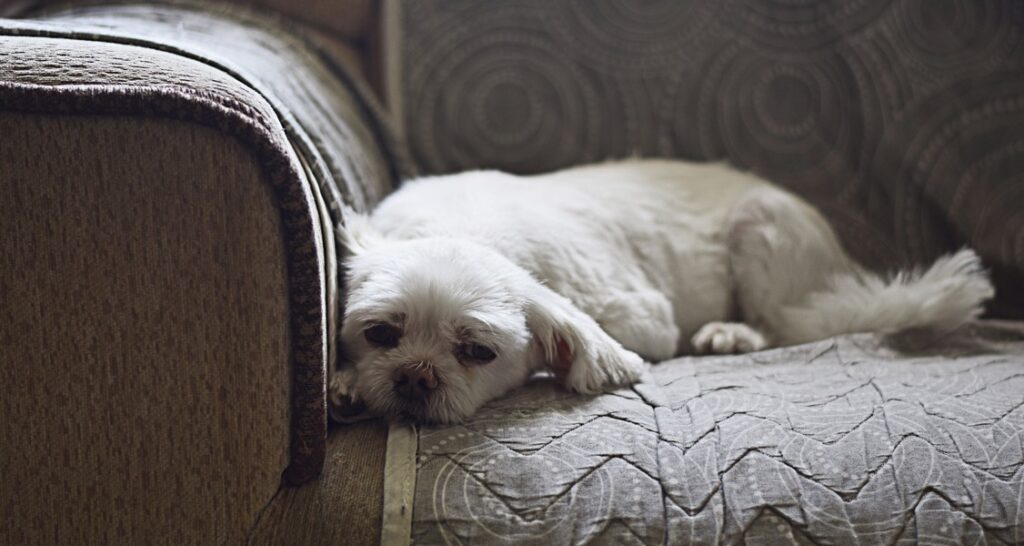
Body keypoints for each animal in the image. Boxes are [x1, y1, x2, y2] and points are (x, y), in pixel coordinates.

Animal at [331, 157, 995, 422]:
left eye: (477, 352)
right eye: (380, 333)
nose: (415, 377)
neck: (465, 223)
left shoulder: (646, 317)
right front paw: (348, 384)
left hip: (763, 228)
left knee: (782, 323)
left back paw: (732, 333)